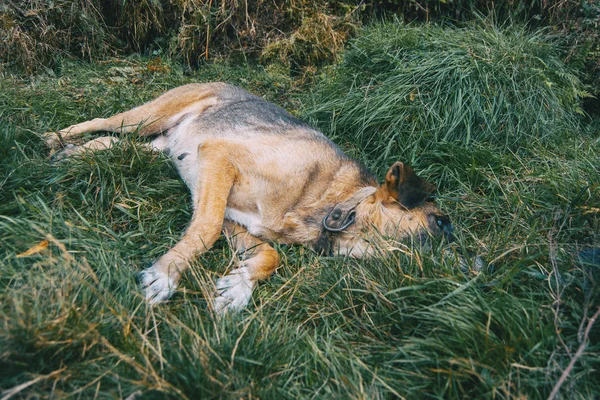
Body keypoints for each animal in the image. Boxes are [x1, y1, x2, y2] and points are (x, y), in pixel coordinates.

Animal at [44, 83, 452, 314]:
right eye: (440, 222)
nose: (468, 268)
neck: (331, 202)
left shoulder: (229, 212)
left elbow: (269, 254)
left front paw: (239, 288)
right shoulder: (218, 160)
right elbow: (205, 231)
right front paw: (165, 275)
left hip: (158, 146)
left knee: (113, 144)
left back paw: (74, 155)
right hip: (147, 117)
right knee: (100, 122)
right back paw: (56, 138)